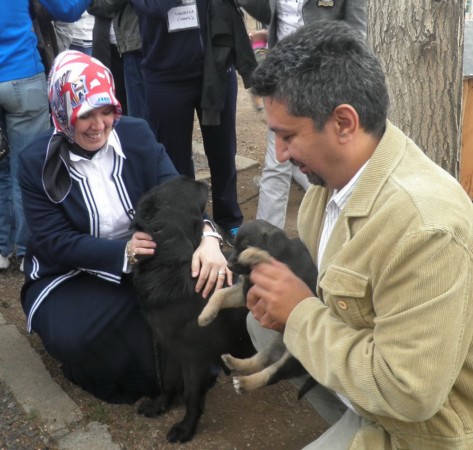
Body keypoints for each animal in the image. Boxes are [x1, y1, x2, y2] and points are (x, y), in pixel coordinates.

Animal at [131, 177, 253, 442]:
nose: (197, 180)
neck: (173, 262)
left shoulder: (195, 358)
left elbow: (191, 397)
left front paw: (185, 429)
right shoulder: (171, 347)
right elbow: (167, 381)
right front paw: (159, 406)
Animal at [196, 220, 318, 396]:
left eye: (245, 246)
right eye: (234, 245)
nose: (229, 265)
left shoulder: (284, 276)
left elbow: (265, 257)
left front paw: (250, 254)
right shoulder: (245, 291)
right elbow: (219, 294)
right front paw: (205, 315)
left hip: (295, 357)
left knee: (272, 374)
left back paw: (245, 384)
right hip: (278, 343)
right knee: (262, 360)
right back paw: (234, 363)